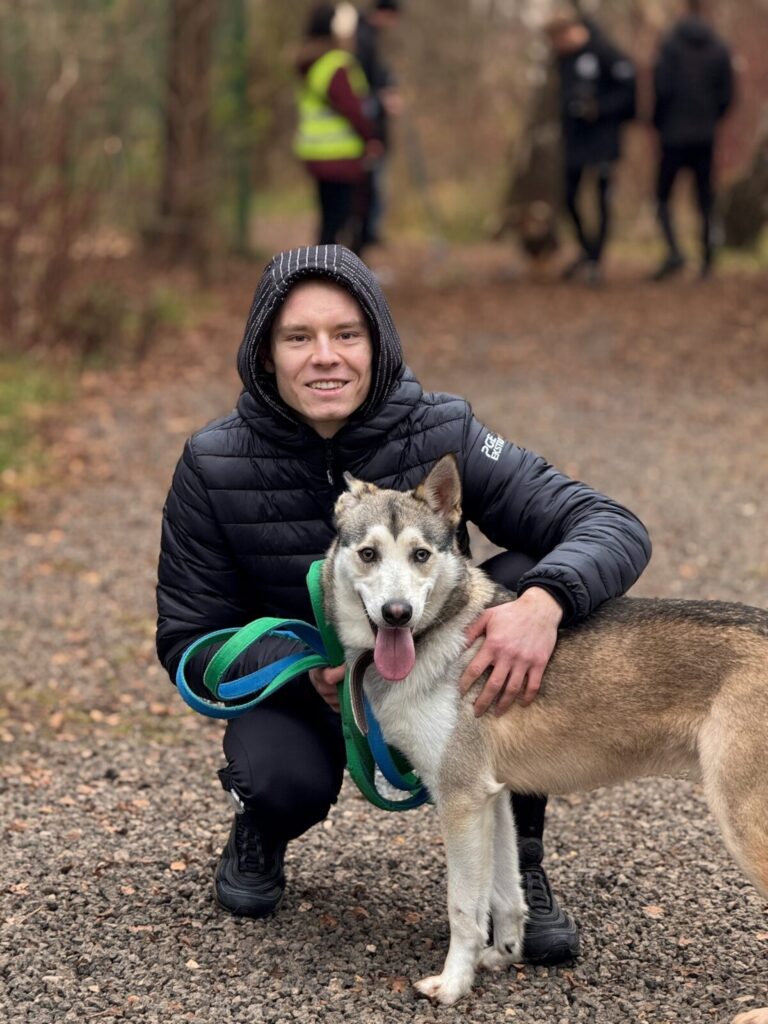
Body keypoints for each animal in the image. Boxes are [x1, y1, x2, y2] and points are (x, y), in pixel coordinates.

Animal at [321, 456, 765, 1015]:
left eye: (420, 555)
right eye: (368, 554)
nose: (397, 613)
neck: (437, 638)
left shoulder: (460, 800)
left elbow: (463, 909)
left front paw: (453, 984)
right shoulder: (492, 798)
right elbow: (504, 895)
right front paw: (502, 956)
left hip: (742, 821)